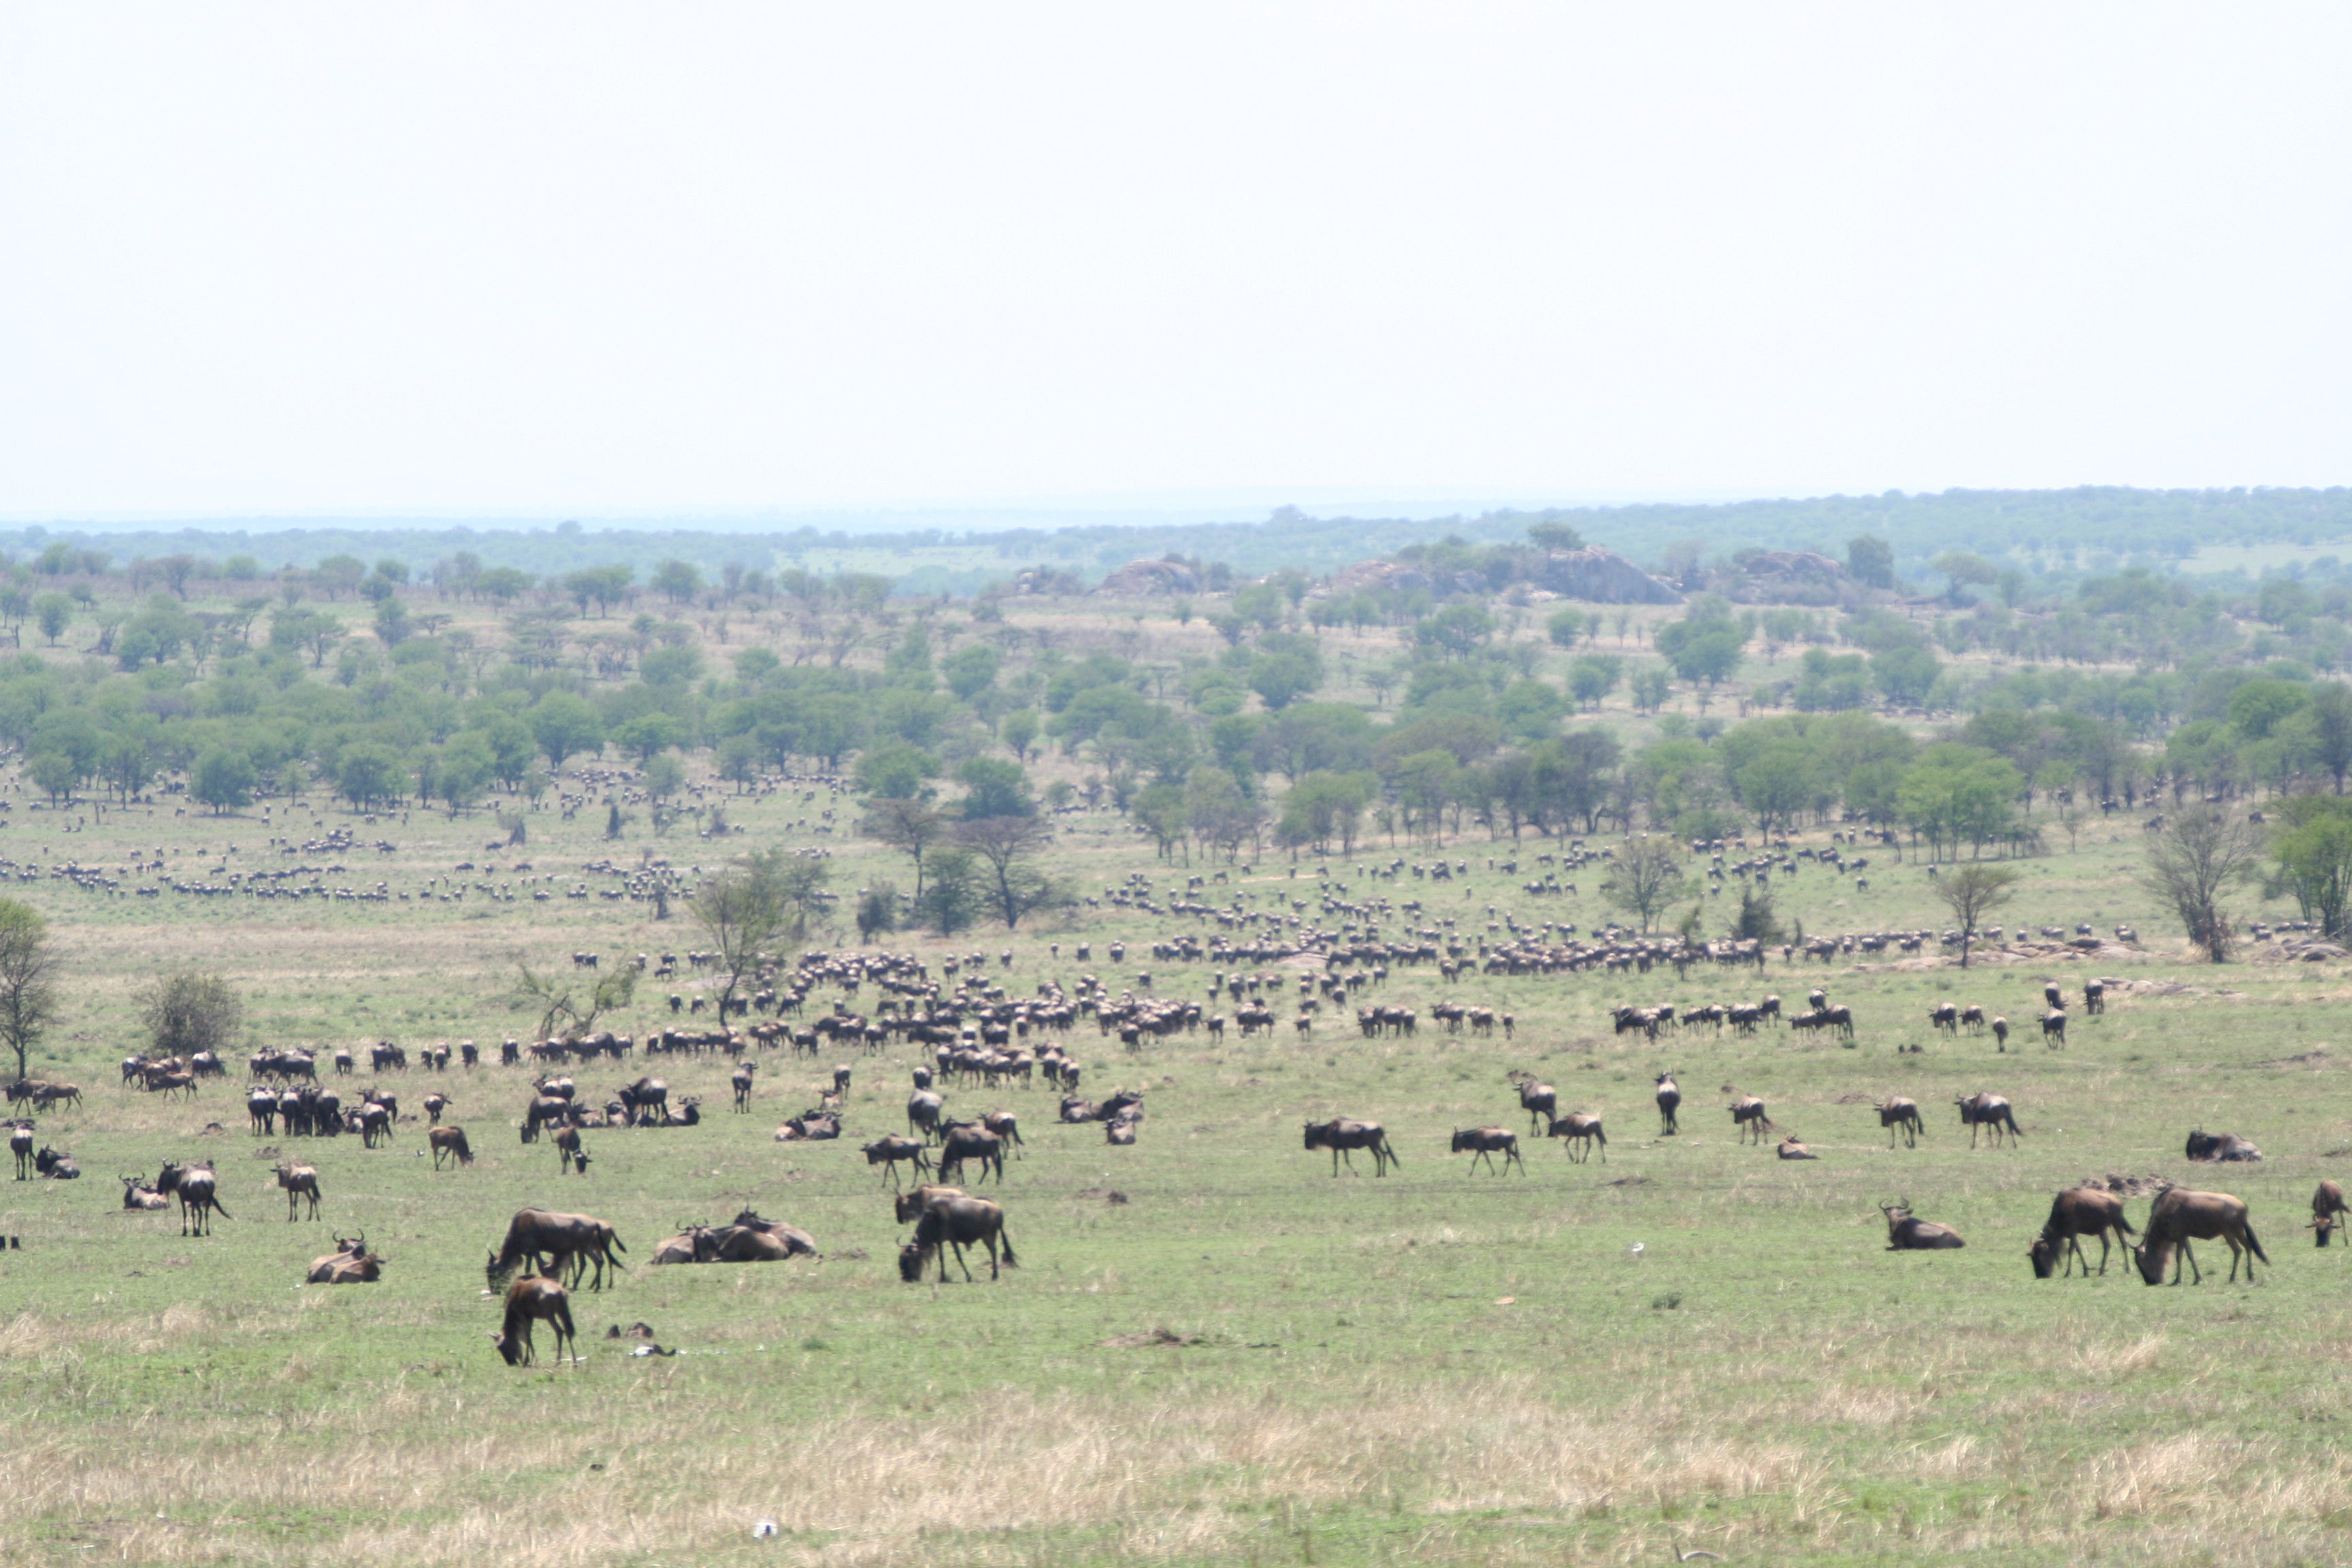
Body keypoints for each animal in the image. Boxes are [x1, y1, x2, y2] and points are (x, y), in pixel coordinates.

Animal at [491, 1275, 578, 1366]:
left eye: (501, 1347)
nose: (511, 1363)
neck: (517, 1293)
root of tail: (560, 1291)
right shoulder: (530, 1317)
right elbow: (527, 1336)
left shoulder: (524, 1316)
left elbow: (527, 1336)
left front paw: (528, 1360)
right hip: (561, 1312)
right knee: (568, 1331)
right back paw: (574, 1361)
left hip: (550, 1316)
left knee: (559, 1331)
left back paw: (558, 1361)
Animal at [2029, 1187, 2134, 1278]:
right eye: (2032, 1257)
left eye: (2040, 1255)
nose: (2041, 1275)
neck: (2061, 1211)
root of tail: (2118, 1201)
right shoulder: (2073, 1234)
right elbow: (2078, 1250)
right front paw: (2086, 1271)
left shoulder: (2073, 1232)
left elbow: (2072, 1251)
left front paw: (2068, 1273)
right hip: (2102, 1229)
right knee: (2107, 1245)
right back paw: (2101, 1271)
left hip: (2117, 1224)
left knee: (2123, 1244)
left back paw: (2128, 1269)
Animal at [2134, 1186, 2268, 1285]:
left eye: (2142, 1263)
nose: (2150, 1282)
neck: (2166, 1209)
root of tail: (2243, 1206)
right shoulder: (2184, 1237)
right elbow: (2188, 1256)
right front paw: (2194, 1279)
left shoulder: (2179, 1237)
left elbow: (2181, 1257)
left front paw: (2180, 1280)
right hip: (2229, 1234)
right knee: (2239, 1250)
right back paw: (2234, 1277)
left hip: (2235, 1231)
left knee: (2247, 1247)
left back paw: (2248, 1276)